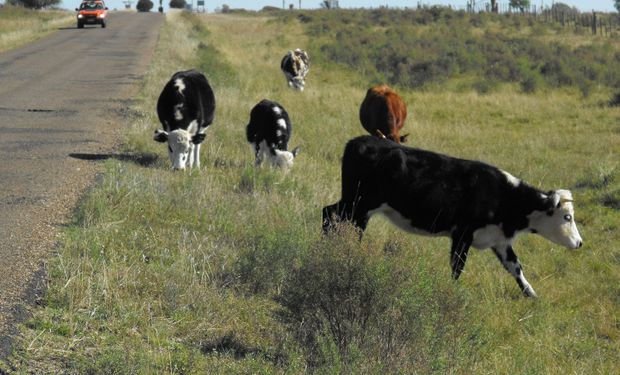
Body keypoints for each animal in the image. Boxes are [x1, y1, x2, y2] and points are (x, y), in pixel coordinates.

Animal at [322, 137, 584, 298]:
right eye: (567, 217)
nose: (580, 242)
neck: (505, 195)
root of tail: (358, 141)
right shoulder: (463, 234)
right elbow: (458, 266)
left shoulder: (499, 240)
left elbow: (515, 267)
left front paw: (531, 294)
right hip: (359, 203)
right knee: (331, 216)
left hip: (357, 205)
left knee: (334, 217)